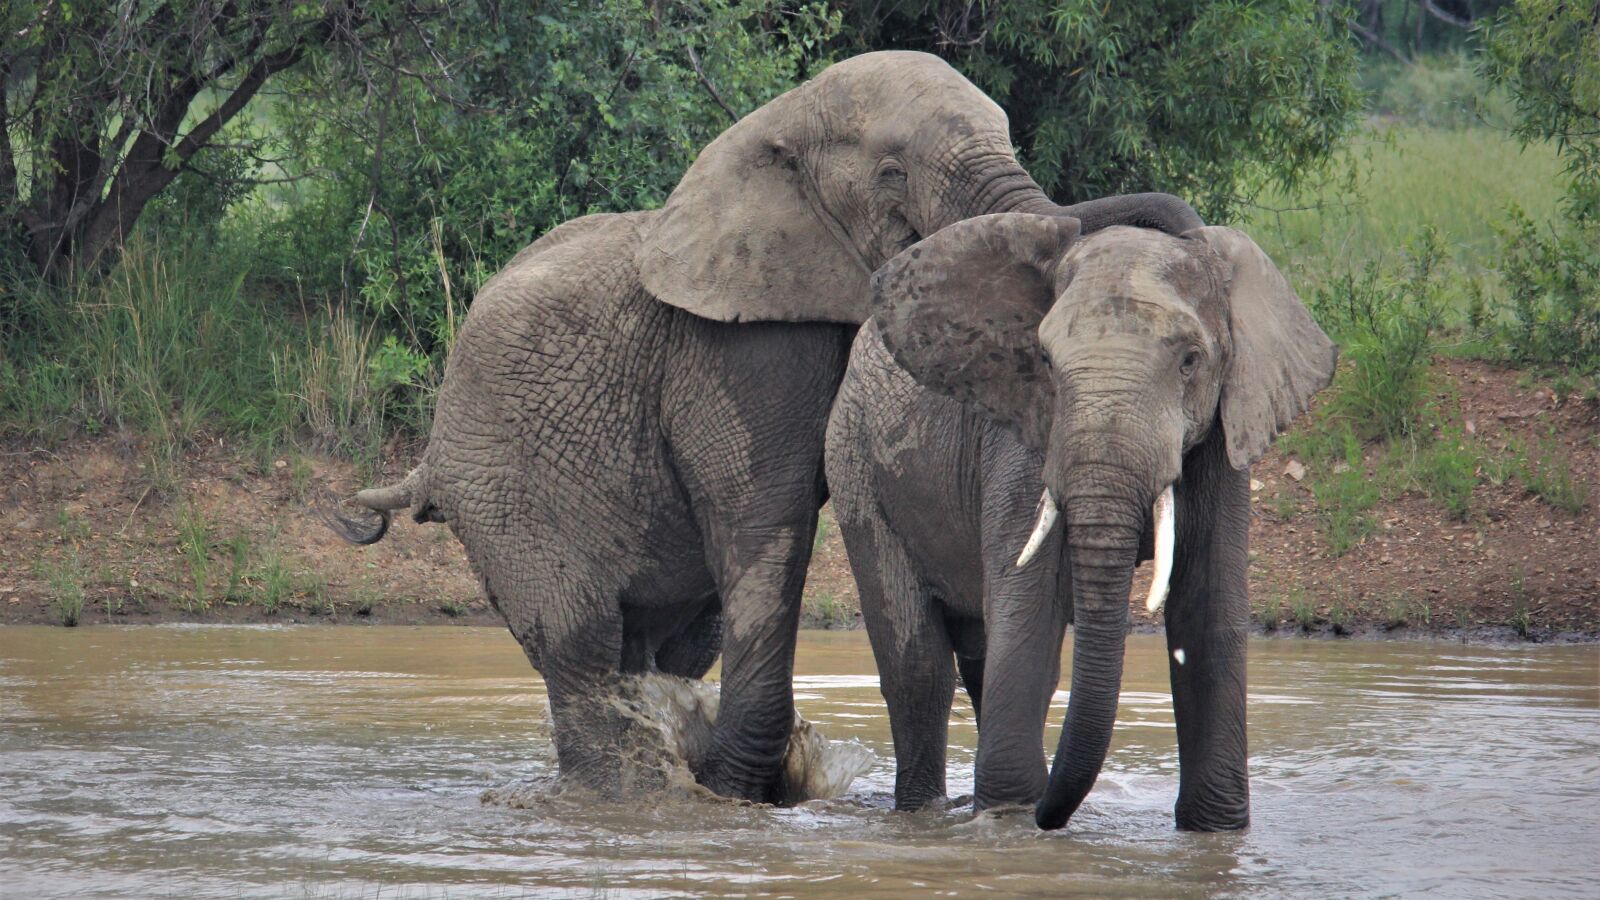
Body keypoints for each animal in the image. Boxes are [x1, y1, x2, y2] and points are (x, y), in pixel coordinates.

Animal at [326, 50, 1204, 805]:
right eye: (893, 172)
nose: (1183, 235)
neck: (778, 124)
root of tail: (428, 459)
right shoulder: (737, 347)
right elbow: (762, 516)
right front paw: (739, 789)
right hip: (501, 490)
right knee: (577, 641)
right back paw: (624, 790)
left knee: (672, 640)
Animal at [831, 212, 1334, 829]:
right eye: (1045, 361)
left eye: (1191, 360)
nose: (1053, 814)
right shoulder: (1026, 437)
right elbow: (1028, 608)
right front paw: (1012, 817)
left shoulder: (1221, 439)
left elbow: (1209, 613)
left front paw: (1213, 830)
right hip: (855, 459)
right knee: (920, 666)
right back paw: (925, 814)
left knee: (974, 655)